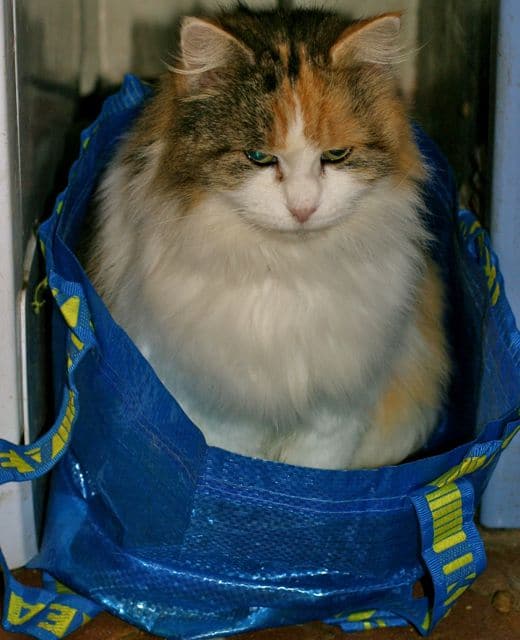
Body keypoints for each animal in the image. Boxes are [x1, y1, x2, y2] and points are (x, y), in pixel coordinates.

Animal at [86, 7, 451, 470]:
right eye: (259, 157)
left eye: (336, 155)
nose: (303, 208)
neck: (284, 268)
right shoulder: (217, 413)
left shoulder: (337, 413)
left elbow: (313, 470)